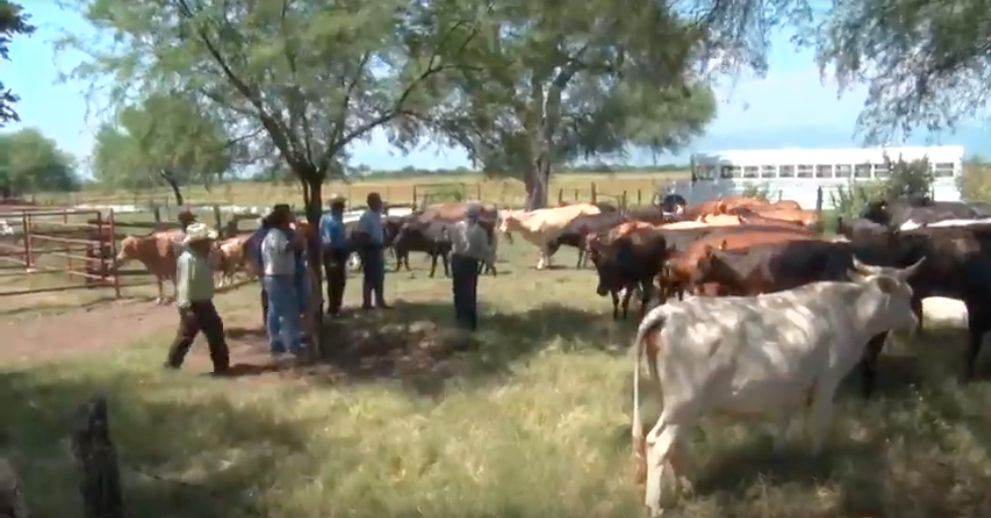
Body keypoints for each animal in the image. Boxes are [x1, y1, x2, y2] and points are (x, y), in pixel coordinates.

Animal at [632, 258, 928, 516]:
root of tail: (671, 311)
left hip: (677, 405)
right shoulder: (827, 380)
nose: (913, 323)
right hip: (686, 403)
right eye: (906, 294)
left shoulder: (789, 387)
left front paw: (780, 461)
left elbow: (782, 425)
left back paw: (686, 488)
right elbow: (818, 422)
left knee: (670, 445)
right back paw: (655, 505)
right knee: (658, 445)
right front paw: (816, 462)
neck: (849, 312)